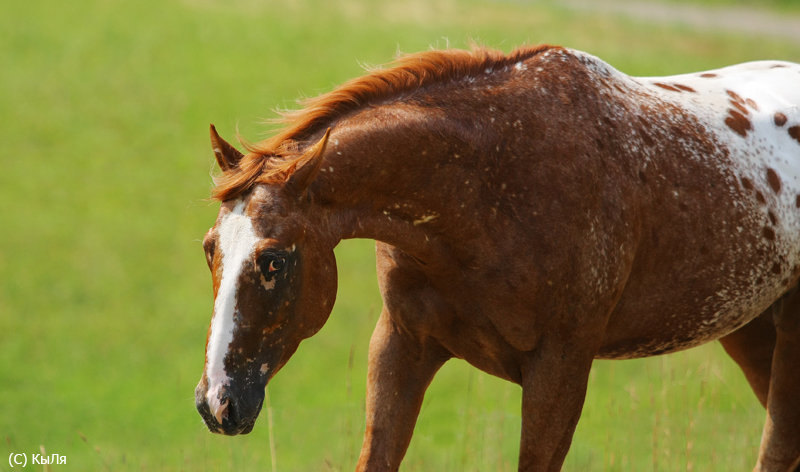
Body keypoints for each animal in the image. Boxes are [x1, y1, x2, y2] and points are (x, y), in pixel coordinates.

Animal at [194, 45, 800, 472]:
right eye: (209, 250)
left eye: (274, 260)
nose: (216, 402)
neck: (490, 181)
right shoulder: (401, 346)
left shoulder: (559, 368)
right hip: (750, 332)